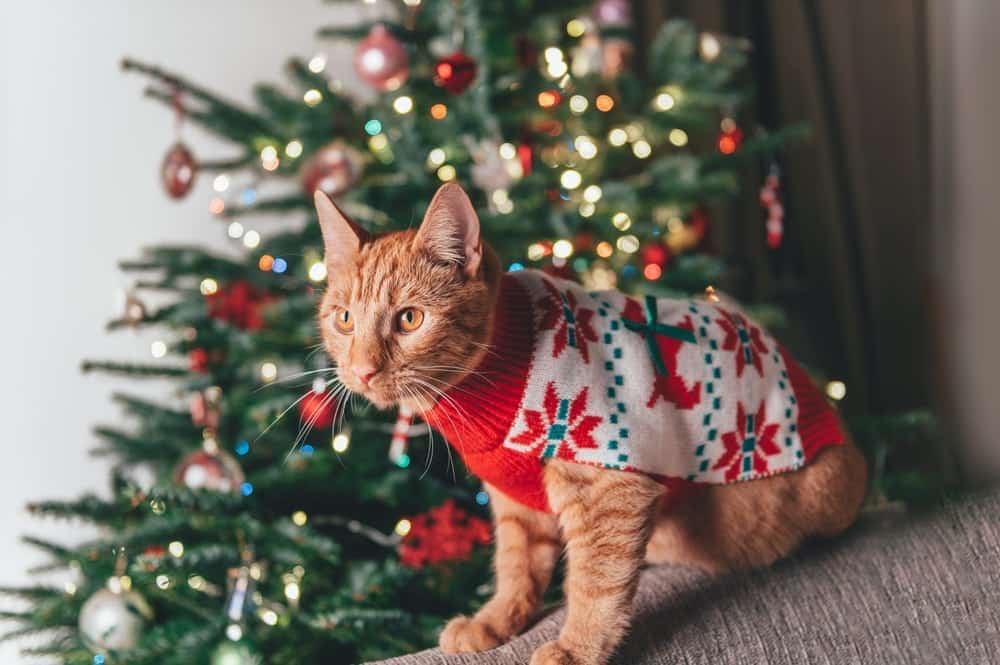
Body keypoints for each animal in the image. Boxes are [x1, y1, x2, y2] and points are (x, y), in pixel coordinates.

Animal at [314, 183, 868, 664]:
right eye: (344, 319)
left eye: (409, 319)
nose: (362, 370)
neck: (506, 360)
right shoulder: (515, 505)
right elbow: (517, 569)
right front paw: (495, 621)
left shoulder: (608, 489)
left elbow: (595, 582)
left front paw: (577, 647)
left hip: (821, 492)